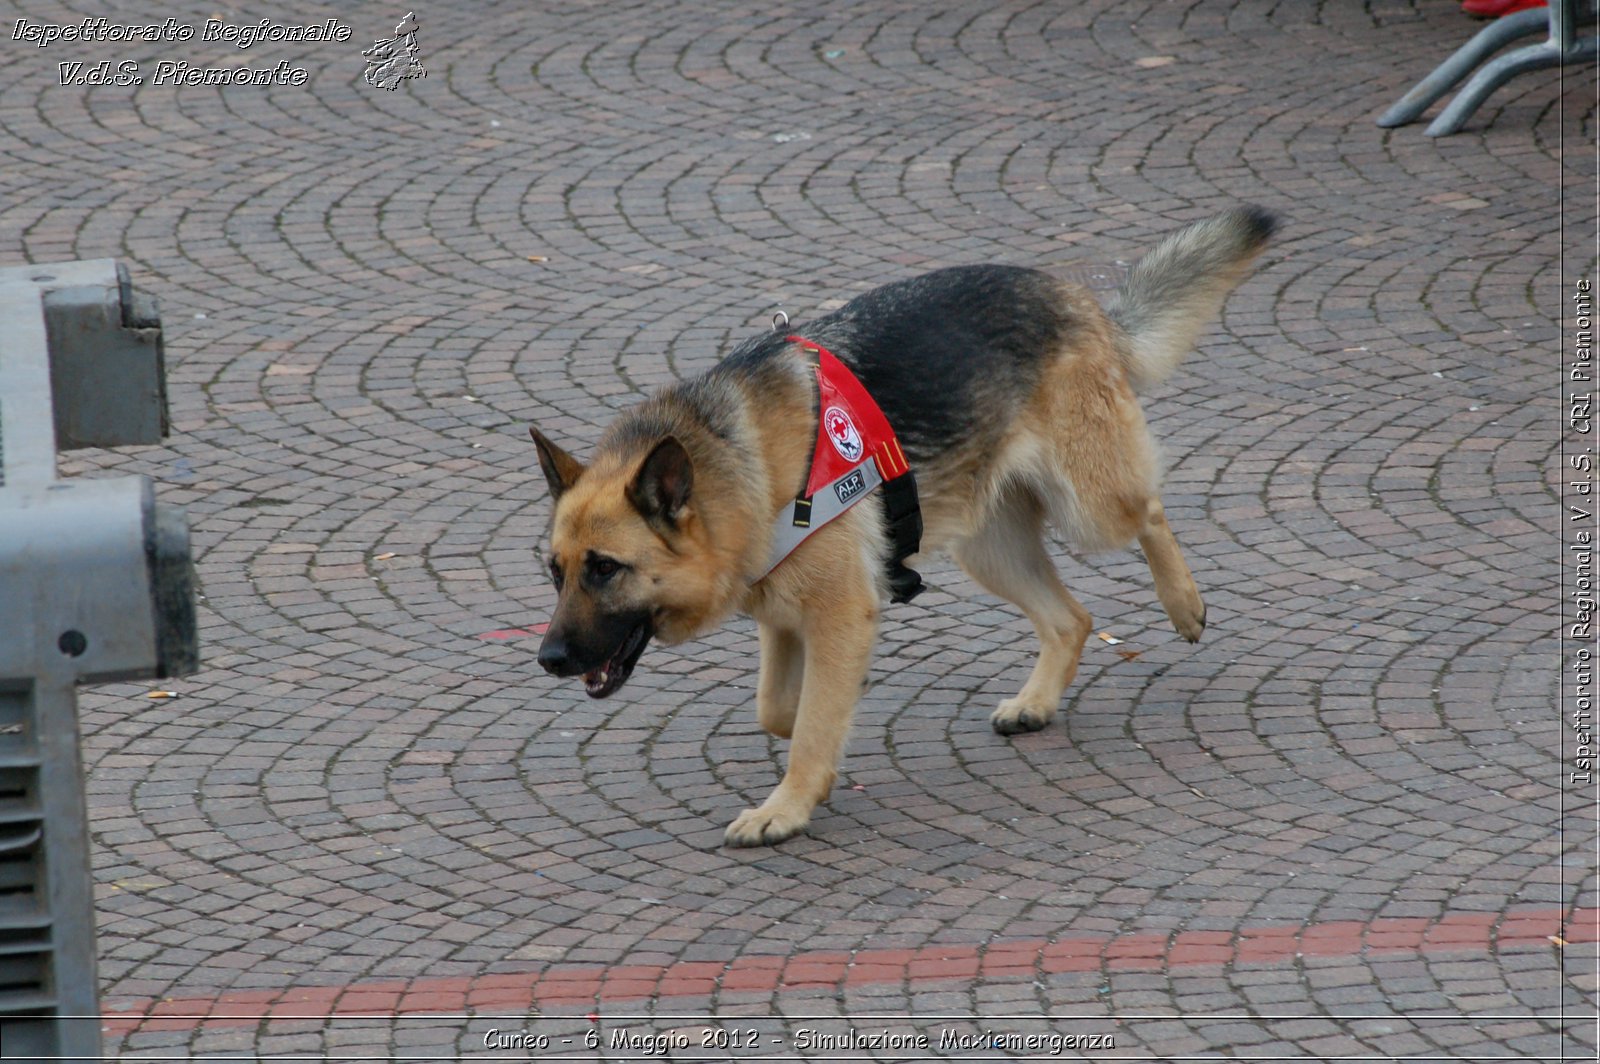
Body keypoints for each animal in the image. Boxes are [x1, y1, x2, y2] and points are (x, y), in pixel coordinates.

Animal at [531, 203, 1280, 844]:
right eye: (555, 573)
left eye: (605, 569)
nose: (548, 661)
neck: (739, 466)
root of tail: (1076, 297)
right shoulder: (785, 615)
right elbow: (780, 709)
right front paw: (820, 737)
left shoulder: (838, 610)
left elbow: (809, 721)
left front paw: (786, 807)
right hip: (991, 550)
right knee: (1071, 619)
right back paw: (1036, 702)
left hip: (1089, 506)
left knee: (1149, 510)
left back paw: (1184, 604)